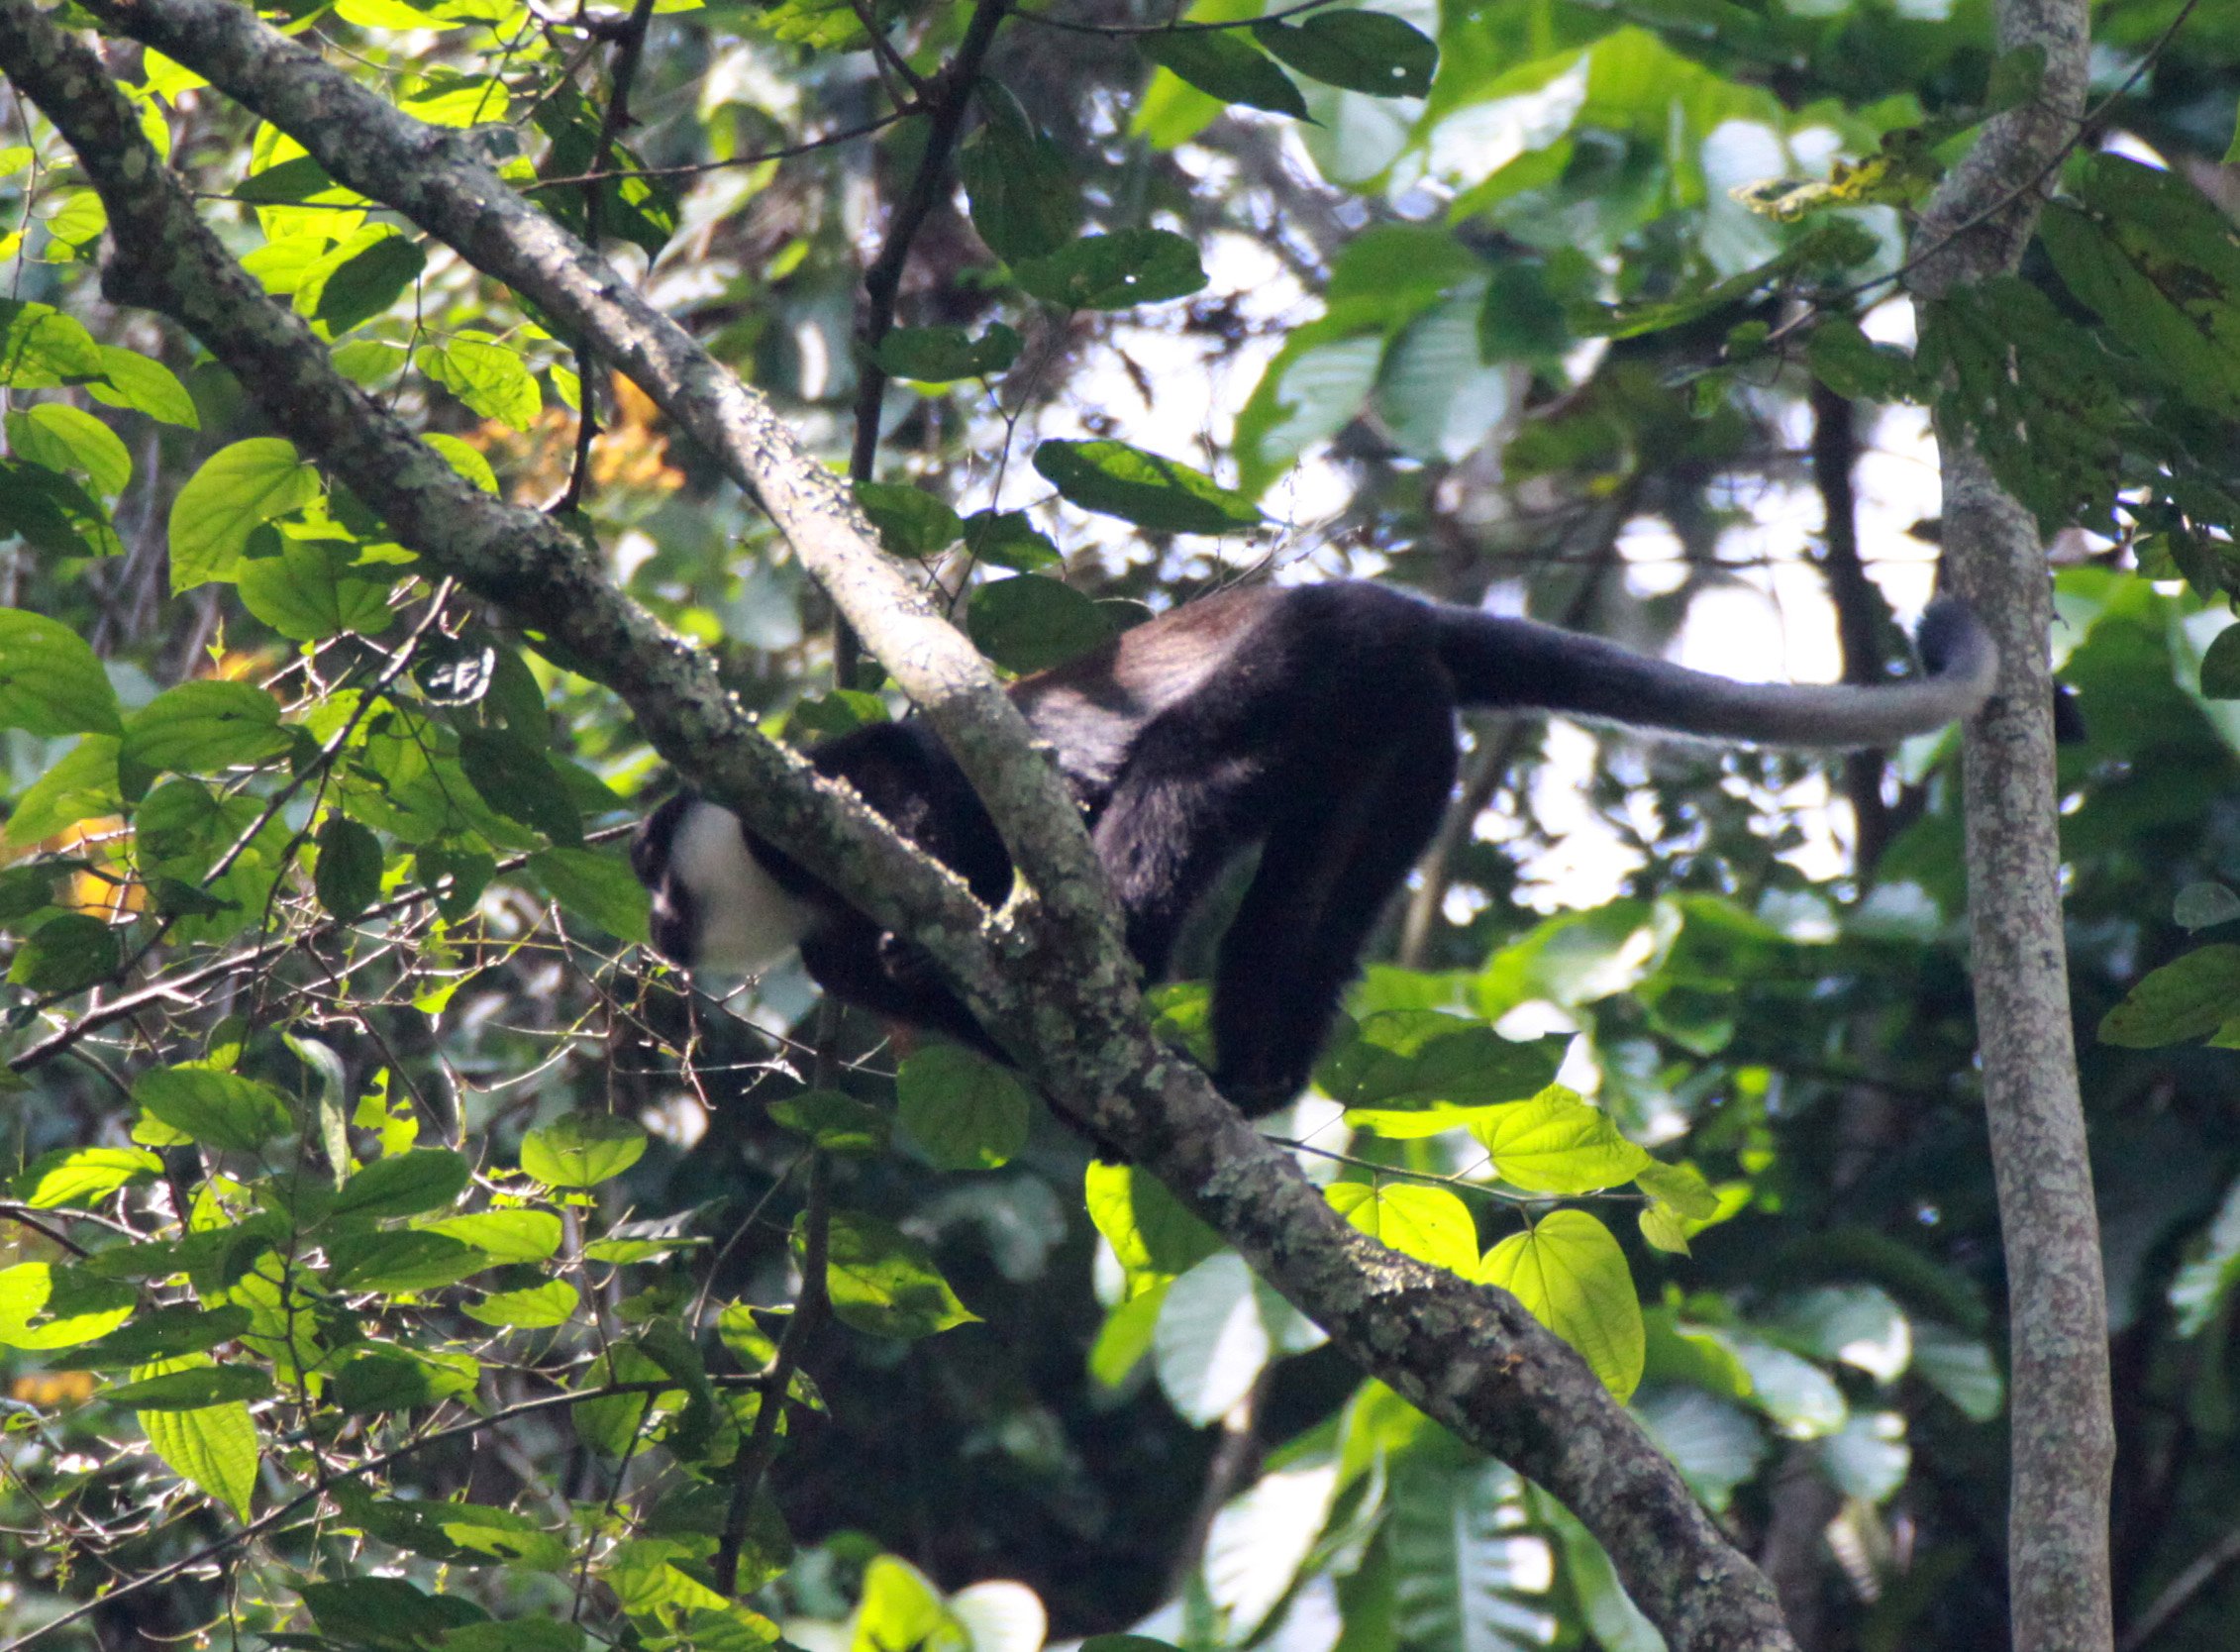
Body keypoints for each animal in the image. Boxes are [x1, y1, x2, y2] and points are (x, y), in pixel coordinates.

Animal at [633, 580, 1995, 1116]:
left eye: (653, 873)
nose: (652, 925)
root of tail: (1396, 607)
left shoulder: (825, 801)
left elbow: (954, 795)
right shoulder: (823, 945)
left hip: (1322, 660)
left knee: (1186, 770)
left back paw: (1127, 944)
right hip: (1405, 751)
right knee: (1304, 911)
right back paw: (1255, 1076)